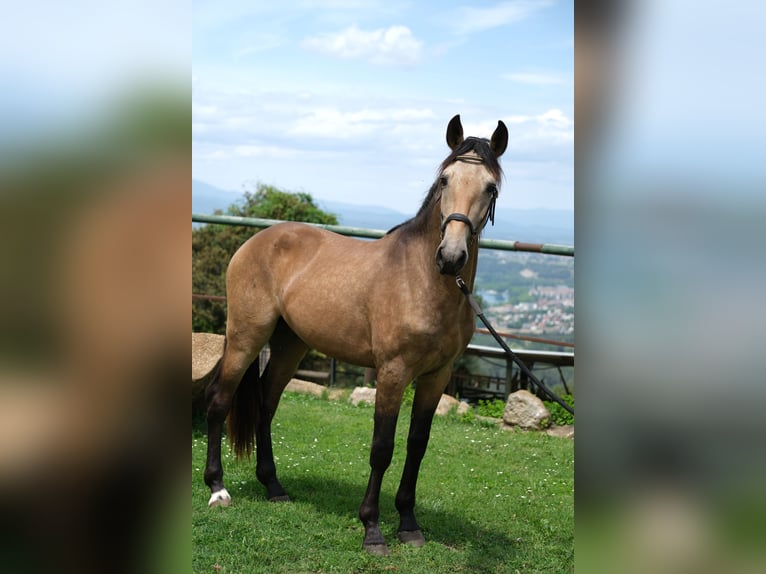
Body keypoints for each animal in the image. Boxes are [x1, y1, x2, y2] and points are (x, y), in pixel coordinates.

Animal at [202, 113, 510, 560]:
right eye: (445, 180)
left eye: (490, 187)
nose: (450, 257)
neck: (421, 280)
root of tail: (256, 241)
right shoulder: (393, 373)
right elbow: (382, 448)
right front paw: (373, 529)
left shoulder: (436, 376)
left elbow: (417, 444)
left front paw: (409, 524)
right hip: (246, 336)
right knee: (219, 401)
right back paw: (217, 489)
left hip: (290, 345)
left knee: (266, 404)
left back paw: (274, 487)